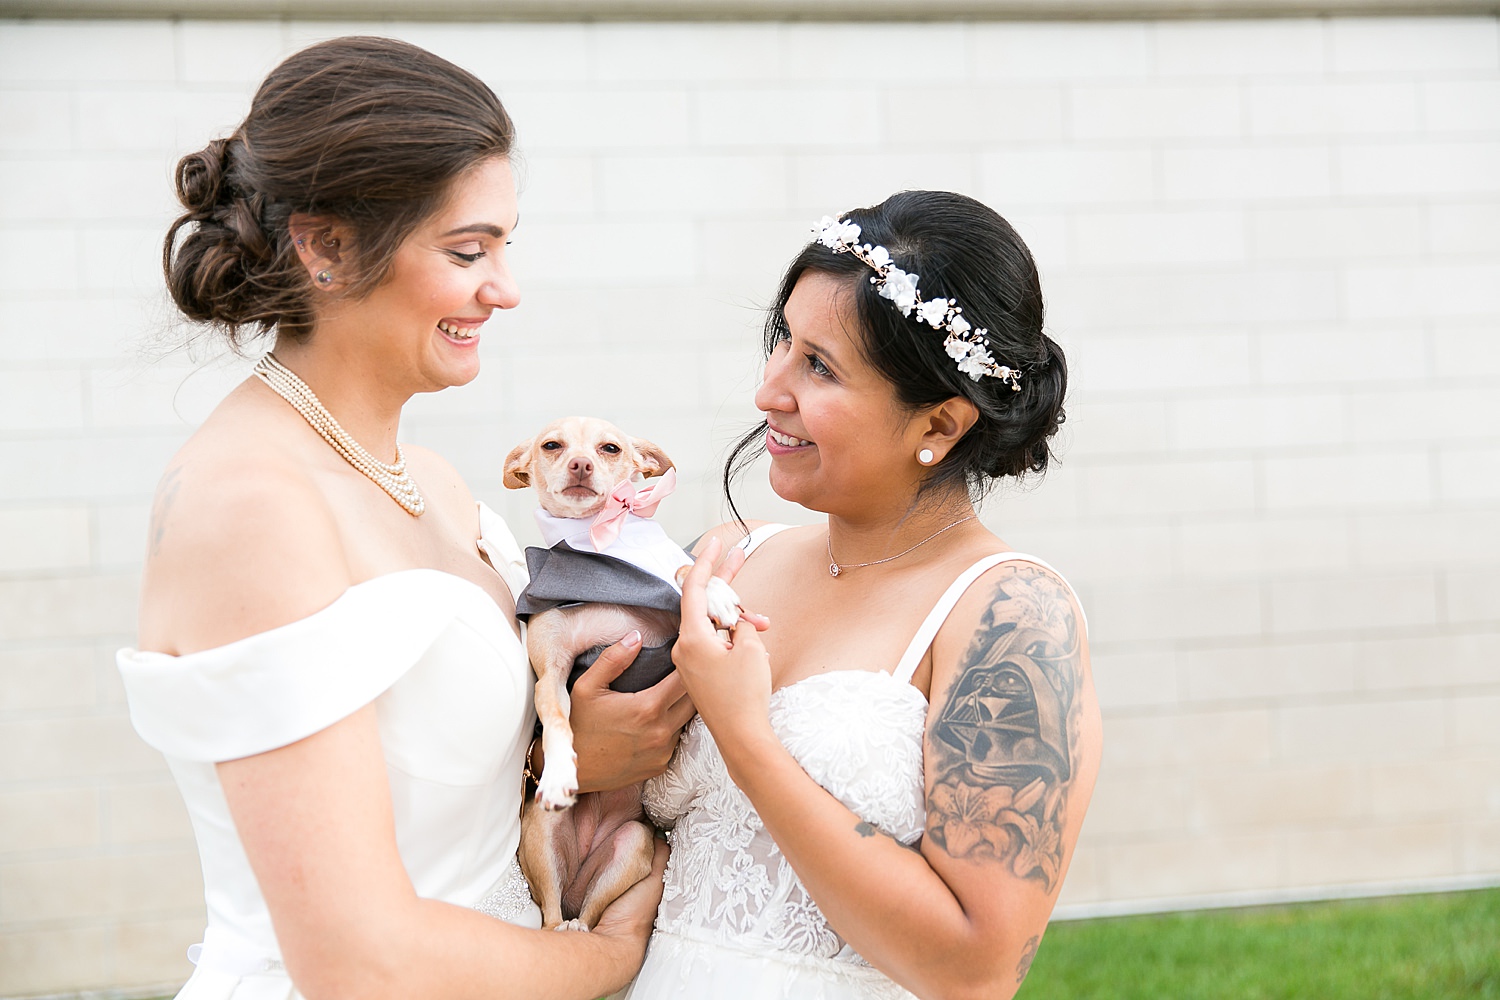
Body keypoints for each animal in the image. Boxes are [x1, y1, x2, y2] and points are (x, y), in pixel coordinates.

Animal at [504, 413, 738, 929]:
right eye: (552, 446)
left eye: (610, 448)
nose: (581, 464)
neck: (603, 542)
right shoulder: (553, 675)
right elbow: (558, 721)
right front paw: (558, 770)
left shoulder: (668, 622)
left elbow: (682, 573)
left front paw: (714, 593)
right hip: (543, 837)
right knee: (555, 918)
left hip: (630, 845)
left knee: (591, 914)